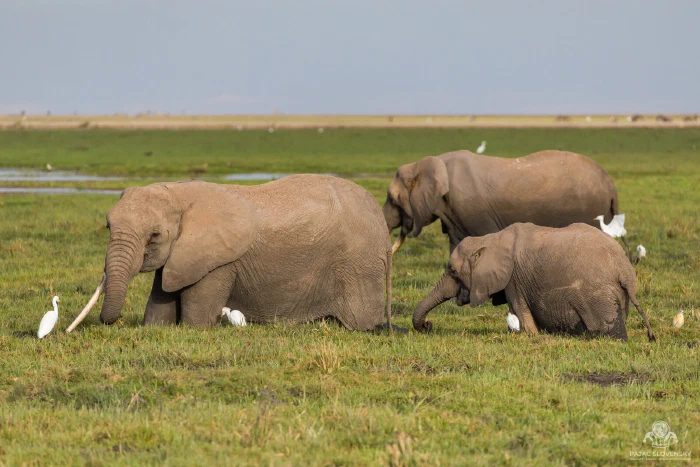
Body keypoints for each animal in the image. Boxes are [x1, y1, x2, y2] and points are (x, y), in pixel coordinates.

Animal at [66, 176, 394, 332]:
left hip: (358, 265)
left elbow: (196, 321)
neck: (179, 194)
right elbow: (159, 308)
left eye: (155, 235)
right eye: (107, 225)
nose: (107, 322)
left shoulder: (218, 261)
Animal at [412, 222, 656, 342]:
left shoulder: (514, 279)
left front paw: (530, 335)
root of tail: (624, 270)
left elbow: (520, 311)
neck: (492, 238)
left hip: (597, 295)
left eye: (452, 271)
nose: (428, 326)